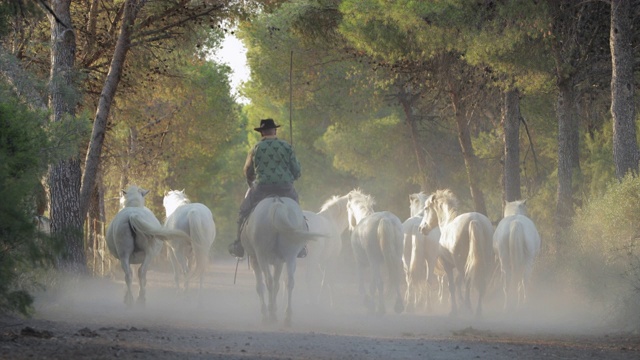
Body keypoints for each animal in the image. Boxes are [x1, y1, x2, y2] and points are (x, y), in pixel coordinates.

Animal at [241, 195, 322, 328]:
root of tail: (277, 204)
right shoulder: (279, 262)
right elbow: (277, 284)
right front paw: (275, 309)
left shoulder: (255, 260)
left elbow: (261, 286)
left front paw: (266, 313)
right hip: (291, 255)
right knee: (289, 281)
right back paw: (287, 317)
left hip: (261, 255)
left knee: (268, 281)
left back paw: (270, 316)